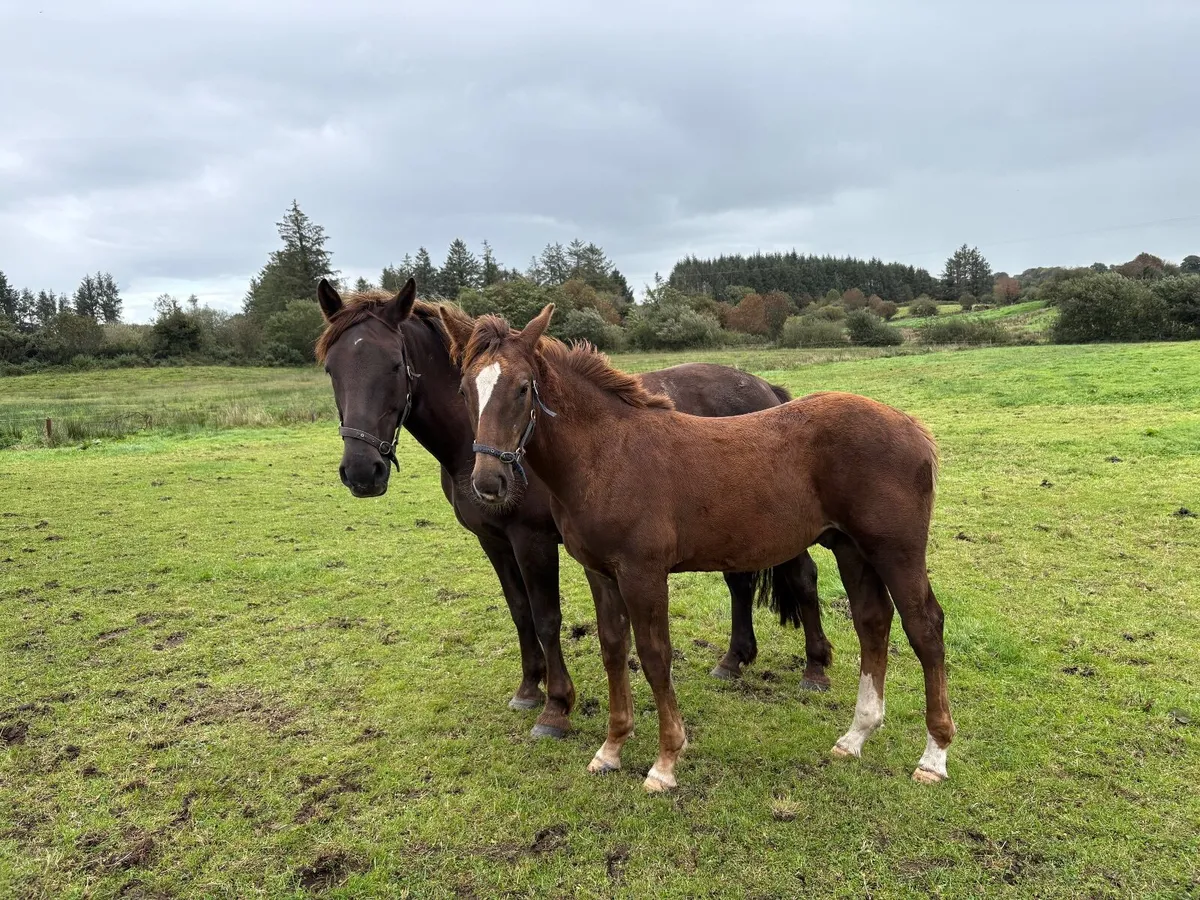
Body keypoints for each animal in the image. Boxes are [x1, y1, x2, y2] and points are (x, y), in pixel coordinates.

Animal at [314, 278, 834, 741]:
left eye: (394, 365)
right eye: (331, 369)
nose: (362, 471)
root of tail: (765, 388)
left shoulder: (534, 540)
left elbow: (547, 617)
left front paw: (556, 707)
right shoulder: (493, 541)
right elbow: (520, 612)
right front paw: (529, 687)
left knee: (802, 576)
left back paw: (814, 667)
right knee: (741, 582)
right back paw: (733, 660)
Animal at [441, 302, 954, 792]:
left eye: (523, 388)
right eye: (464, 390)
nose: (489, 482)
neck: (607, 454)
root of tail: (913, 428)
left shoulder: (643, 572)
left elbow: (654, 656)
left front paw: (665, 763)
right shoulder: (600, 572)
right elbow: (613, 649)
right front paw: (611, 750)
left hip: (896, 550)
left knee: (924, 626)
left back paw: (933, 757)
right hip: (850, 547)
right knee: (873, 621)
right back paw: (855, 736)